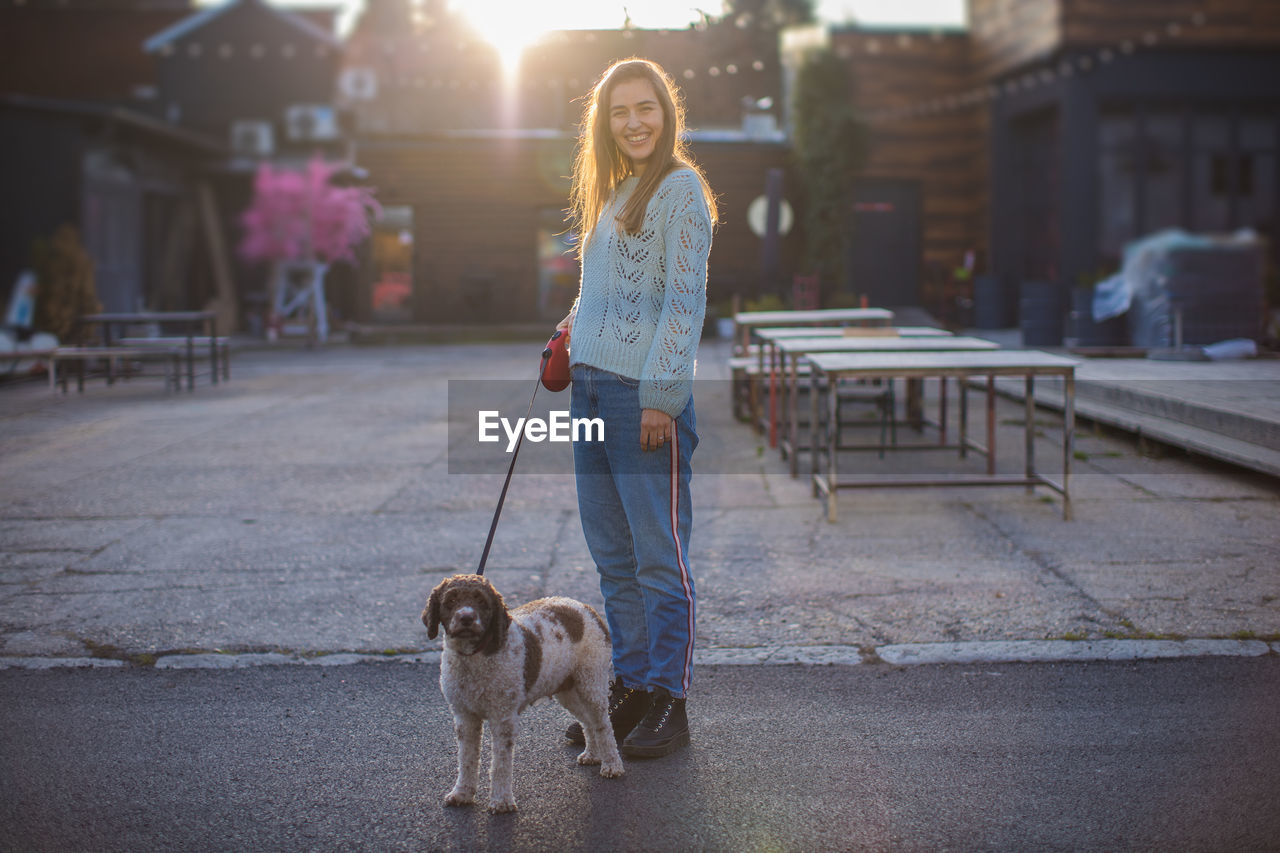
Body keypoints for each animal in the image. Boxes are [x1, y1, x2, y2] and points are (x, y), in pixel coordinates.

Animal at [422, 571, 622, 809]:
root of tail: (585, 607)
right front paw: (462, 793)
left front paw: (501, 801)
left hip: (591, 682)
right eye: (451, 600)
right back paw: (592, 754)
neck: (474, 656)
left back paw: (612, 765)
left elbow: (500, 763)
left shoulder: (503, 718)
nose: (467, 618)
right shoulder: (464, 716)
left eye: (482, 601)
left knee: (603, 725)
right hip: (568, 689)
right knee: (588, 722)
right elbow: (467, 759)